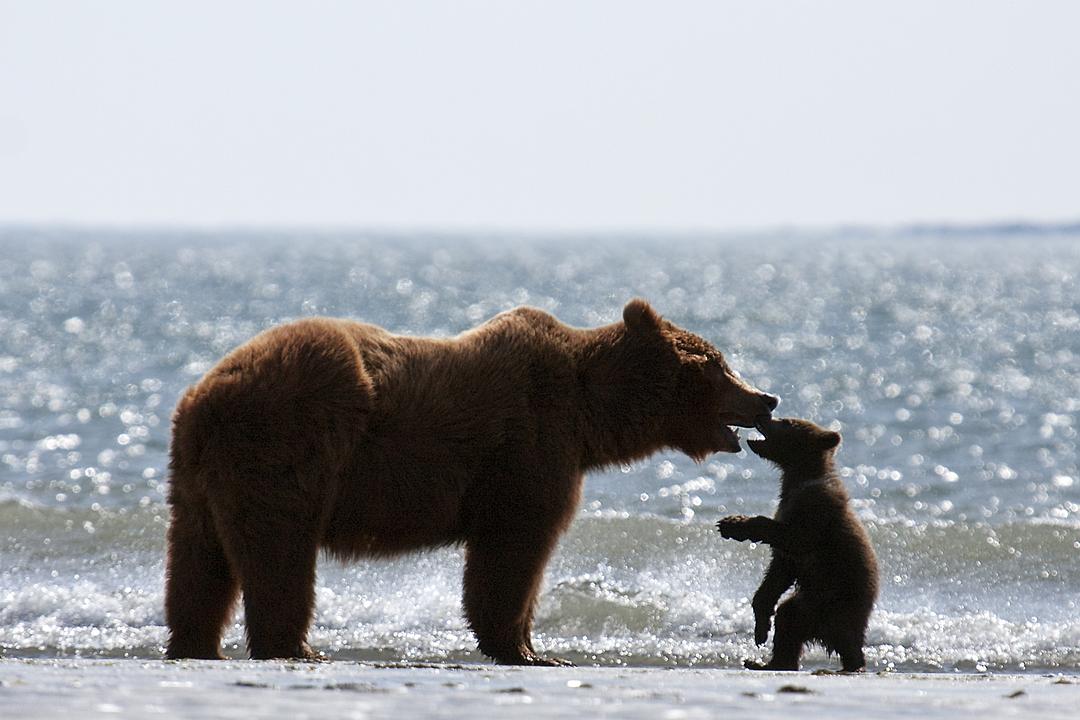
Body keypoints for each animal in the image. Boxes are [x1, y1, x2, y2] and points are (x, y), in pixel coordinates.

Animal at [164, 298, 779, 665]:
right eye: (718, 365)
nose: (766, 398)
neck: (590, 415)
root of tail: (201, 396)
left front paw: (530, 645)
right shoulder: (529, 448)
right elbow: (514, 547)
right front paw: (527, 648)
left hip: (197, 477)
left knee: (198, 560)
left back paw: (196, 645)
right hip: (290, 445)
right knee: (279, 549)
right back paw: (293, 647)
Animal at [716, 417, 878, 672]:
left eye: (786, 422)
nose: (765, 417)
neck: (799, 477)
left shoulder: (815, 512)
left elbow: (794, 538)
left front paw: (733, 525)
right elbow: (777, 574)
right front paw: (760, 627)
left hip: (832, 600)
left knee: (808, 625)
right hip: (814, 603)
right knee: (788, 623)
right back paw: (766, 662)